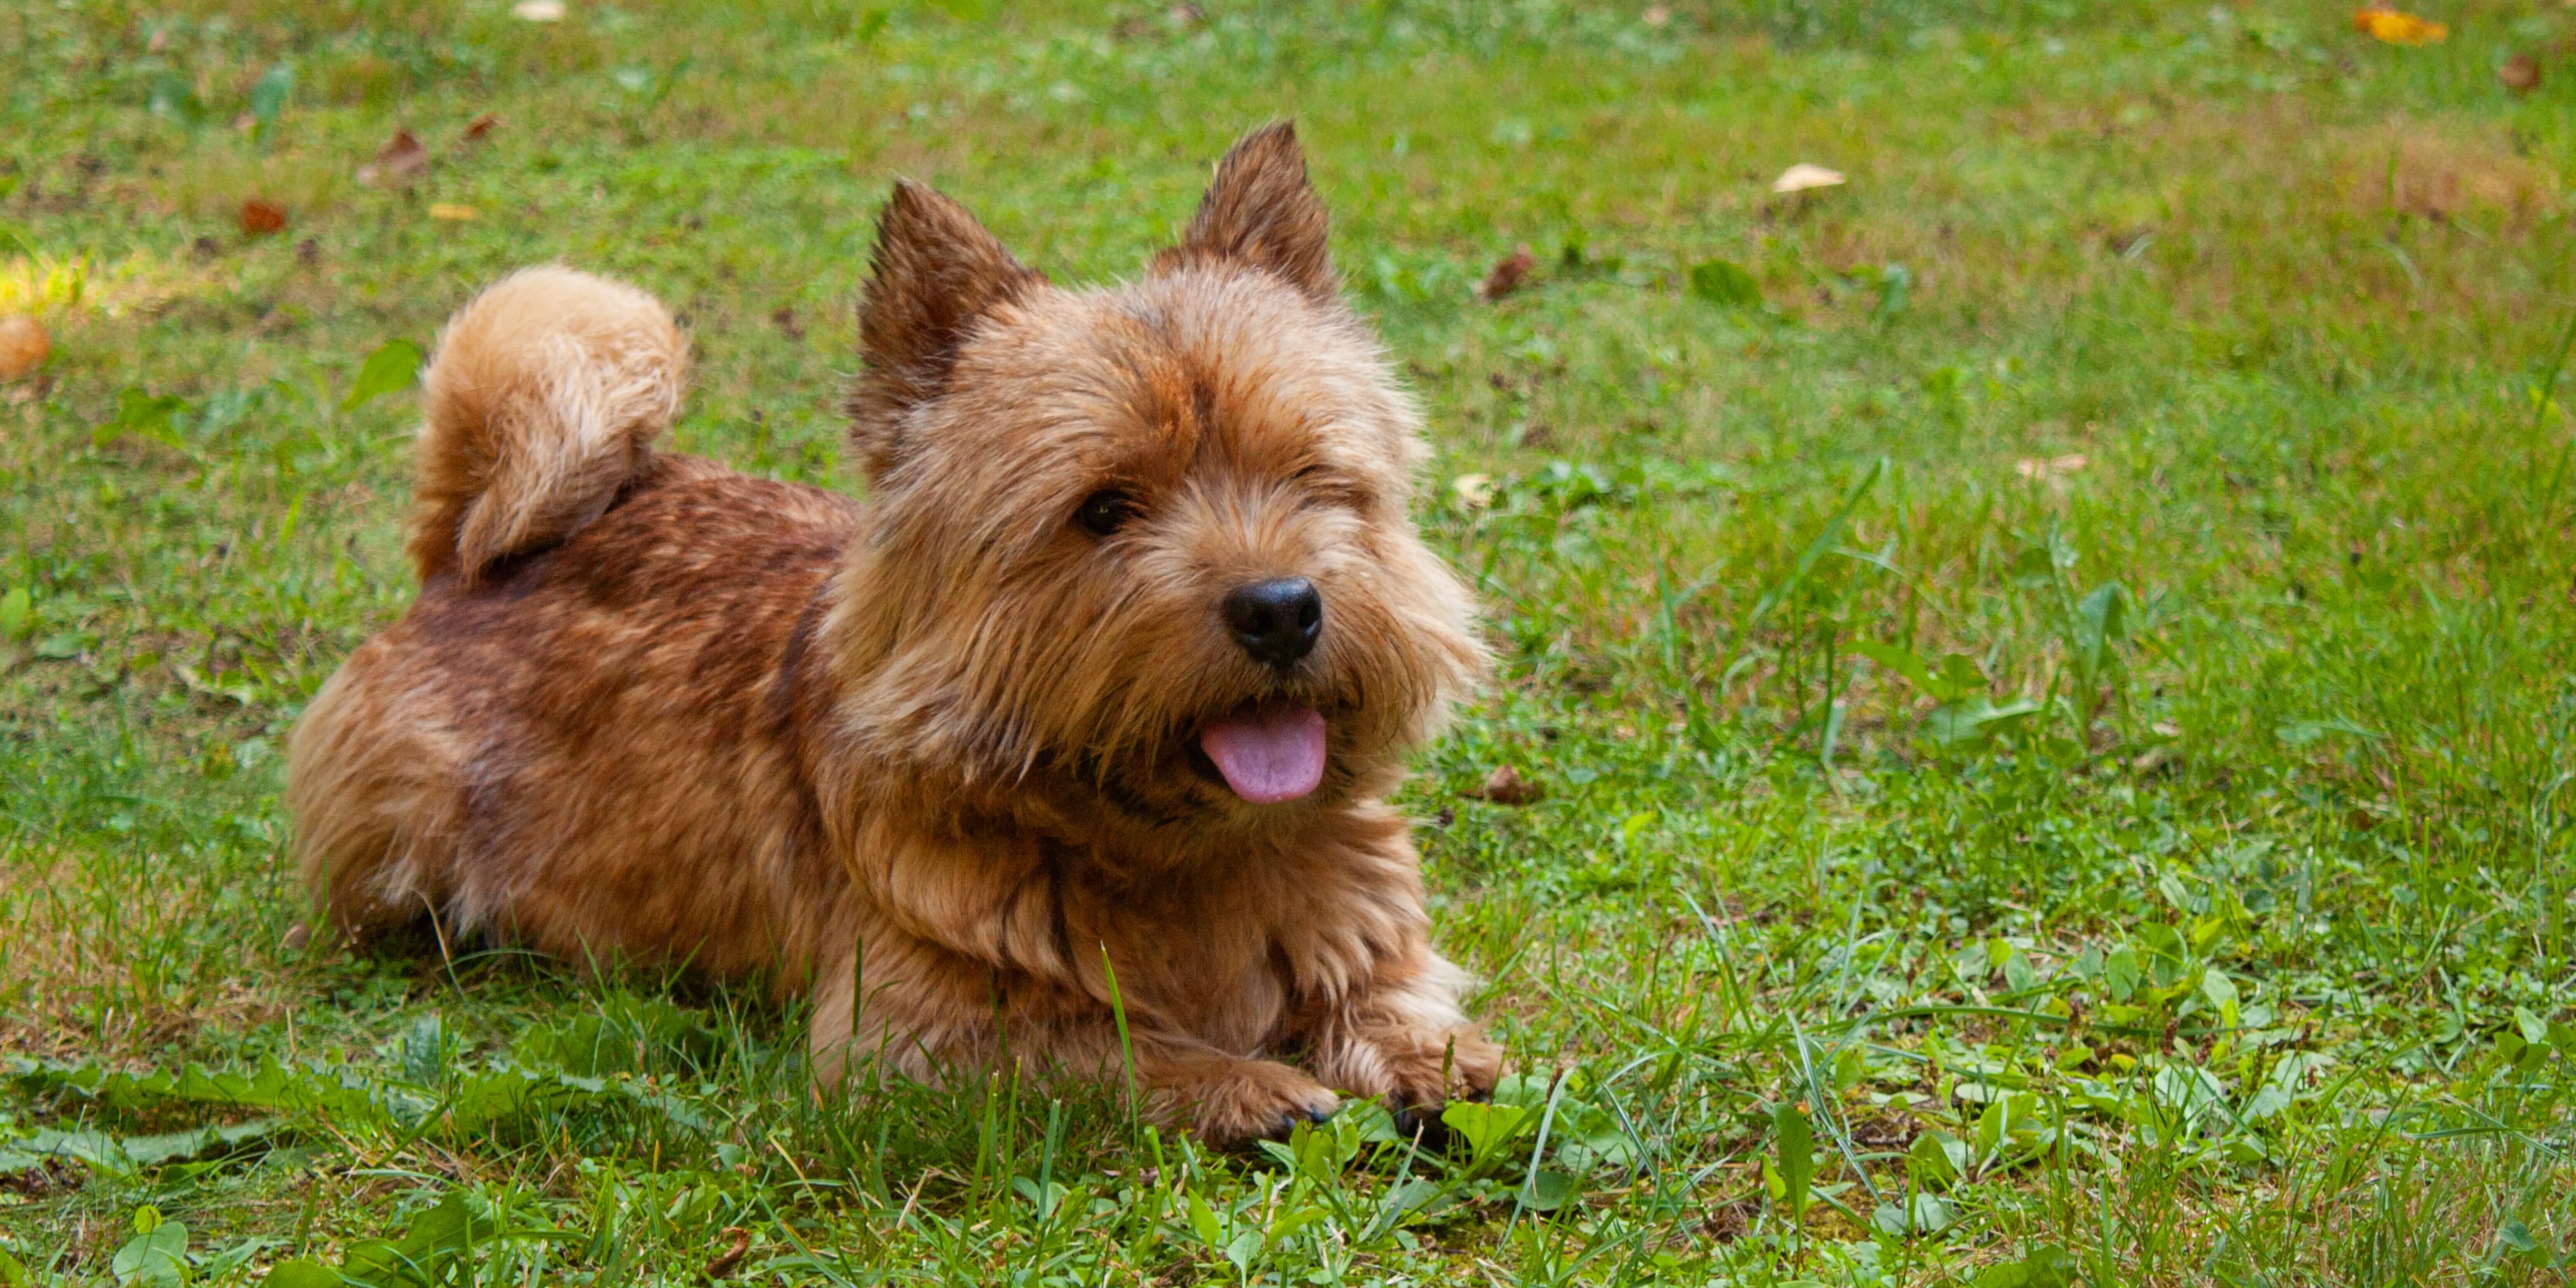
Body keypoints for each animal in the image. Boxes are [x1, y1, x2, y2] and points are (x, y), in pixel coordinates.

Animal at [290, 125, 1504, 1143]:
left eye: (1309, 477)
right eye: (1104, 509)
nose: (1281, 606)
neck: (1184, 854)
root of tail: (472, 552)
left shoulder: (1372, 935)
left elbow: (1399, 999)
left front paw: (1439, 1062)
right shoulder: (910, 1042)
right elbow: (1102, 1044)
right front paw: (1242, 1083)